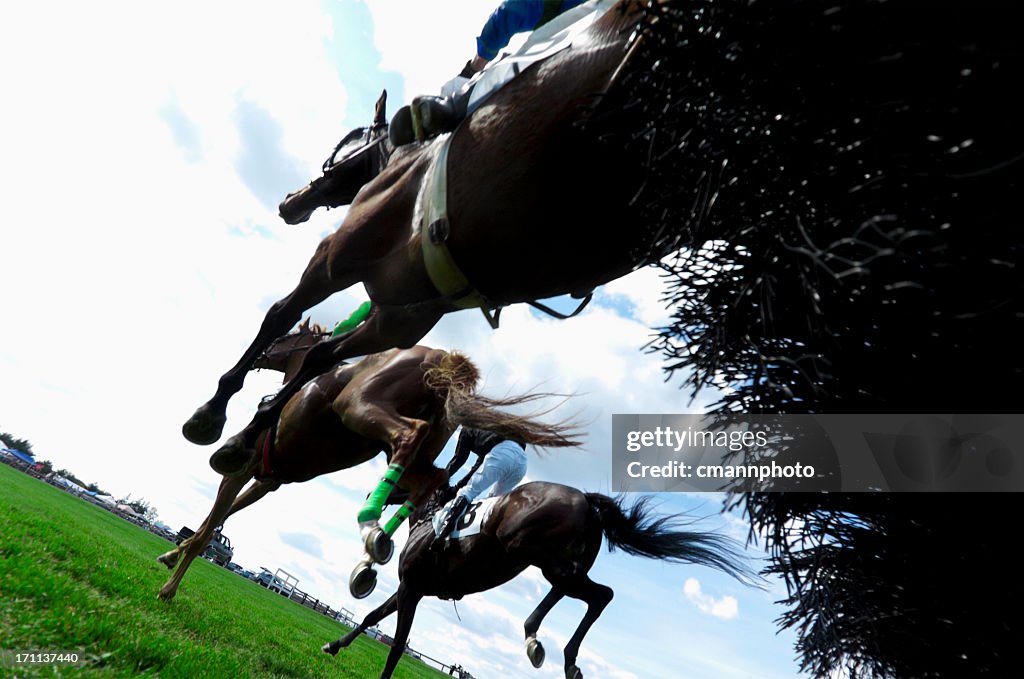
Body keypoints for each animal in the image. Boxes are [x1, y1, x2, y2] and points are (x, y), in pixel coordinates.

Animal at [159, 335, 581, 602]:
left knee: (411, 437)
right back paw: (373, 546)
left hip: (358, 406)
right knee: (432, 477)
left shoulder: (244, 469)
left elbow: (213, 522)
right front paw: (173, 553)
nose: (263, 352)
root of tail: (442, 359)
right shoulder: (268, 480)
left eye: (282, 341)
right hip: (415, 445)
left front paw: (170, 584)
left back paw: (370, 522)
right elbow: (224, 515)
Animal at [180, 0, 651, 467]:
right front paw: (249, 431)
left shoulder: (333, 259)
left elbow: (281, 314)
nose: (291, 202)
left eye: (342, 145)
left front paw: (213, 413)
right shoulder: (397, 319)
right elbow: (318, 355)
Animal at [323, 481, 757, 679]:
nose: (373, 492)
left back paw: (536, 636)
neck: (431, 520)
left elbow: (397, 643)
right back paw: (563, 657)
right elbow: (371, 618)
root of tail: (585, 499)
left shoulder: (412, 589)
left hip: (534, 552)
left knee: (585, 591)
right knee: (599, 595)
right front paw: (333, 645)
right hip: (559, 562)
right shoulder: (411, 590)